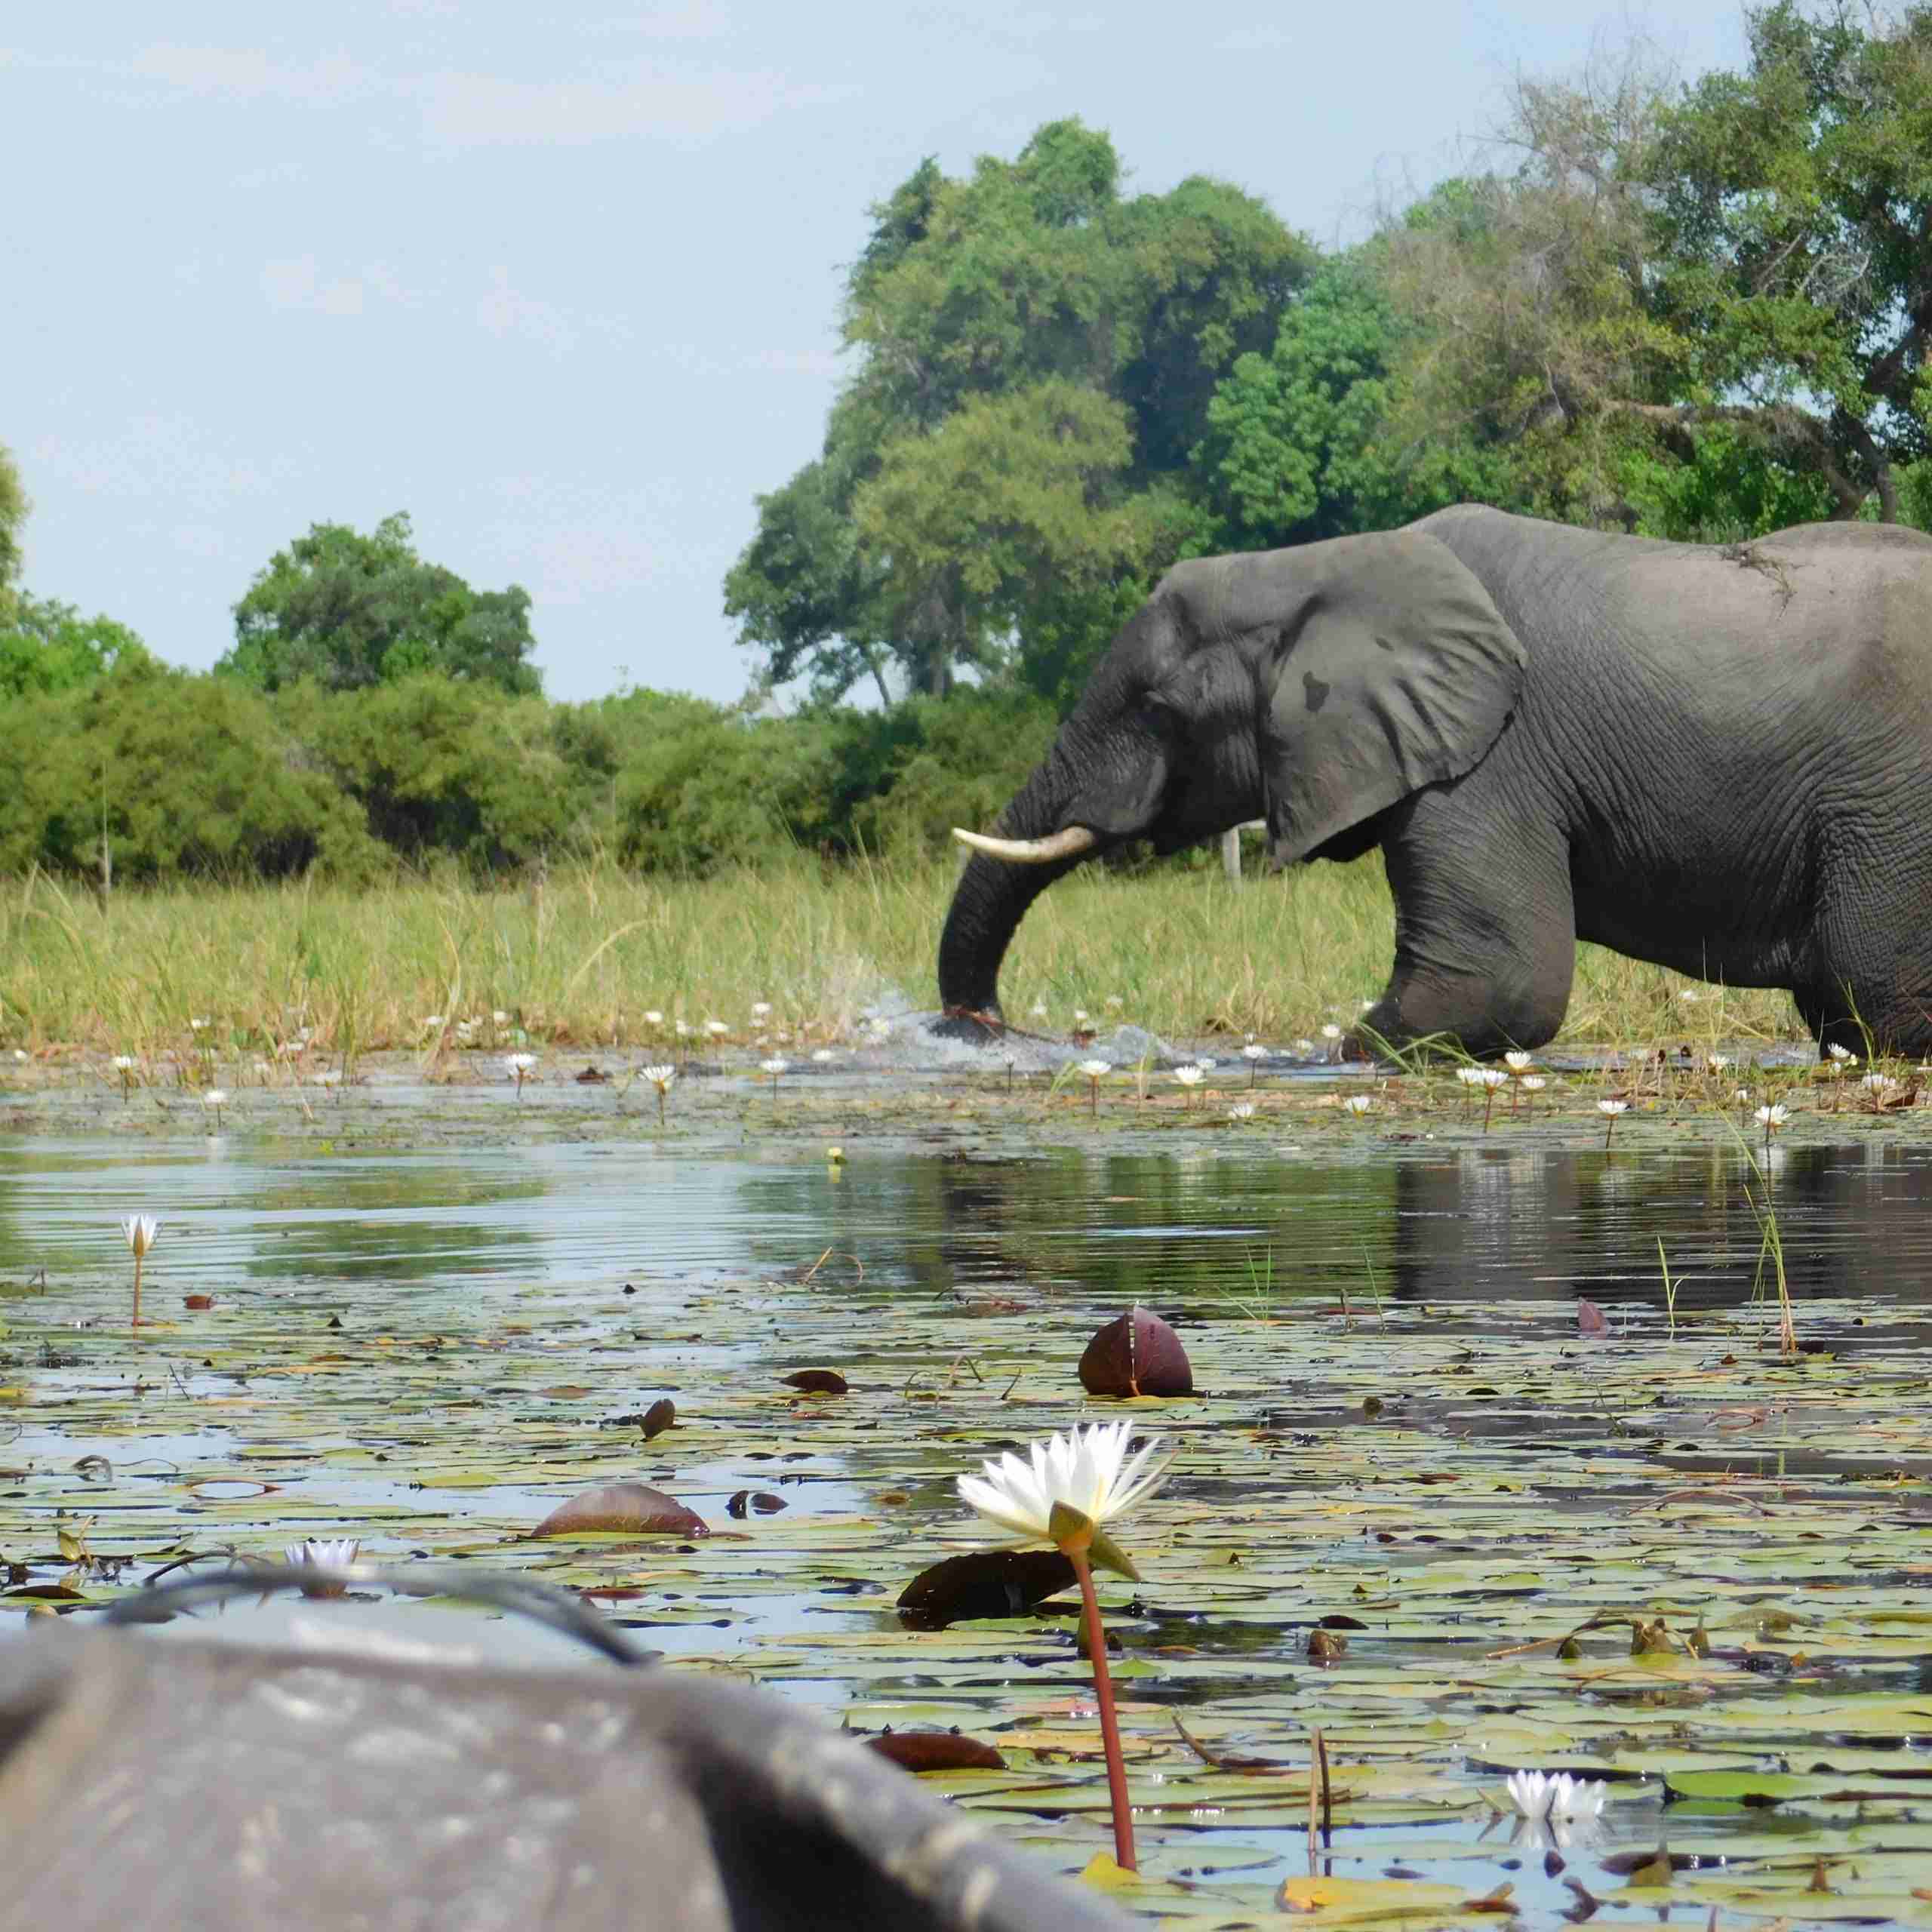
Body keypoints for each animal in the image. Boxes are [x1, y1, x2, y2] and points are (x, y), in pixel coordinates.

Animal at [943, 502, 1932, 1058]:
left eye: (1154, 706)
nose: (979, 1024)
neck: (1318, 564)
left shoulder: (1491, 758)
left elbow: (1502, 984)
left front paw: (1345, 1051)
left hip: (1892, 809)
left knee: (1868, 994)